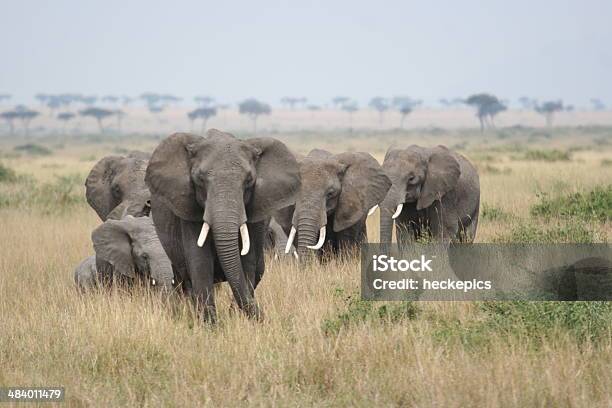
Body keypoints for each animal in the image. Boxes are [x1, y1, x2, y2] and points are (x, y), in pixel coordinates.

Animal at [145, 131, 300, 322]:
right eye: (200, 179)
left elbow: (247, 264)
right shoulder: (189, 209)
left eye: (249, 181)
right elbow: (200, 262)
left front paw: (237, 320)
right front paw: (211, 325)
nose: (266, 318)